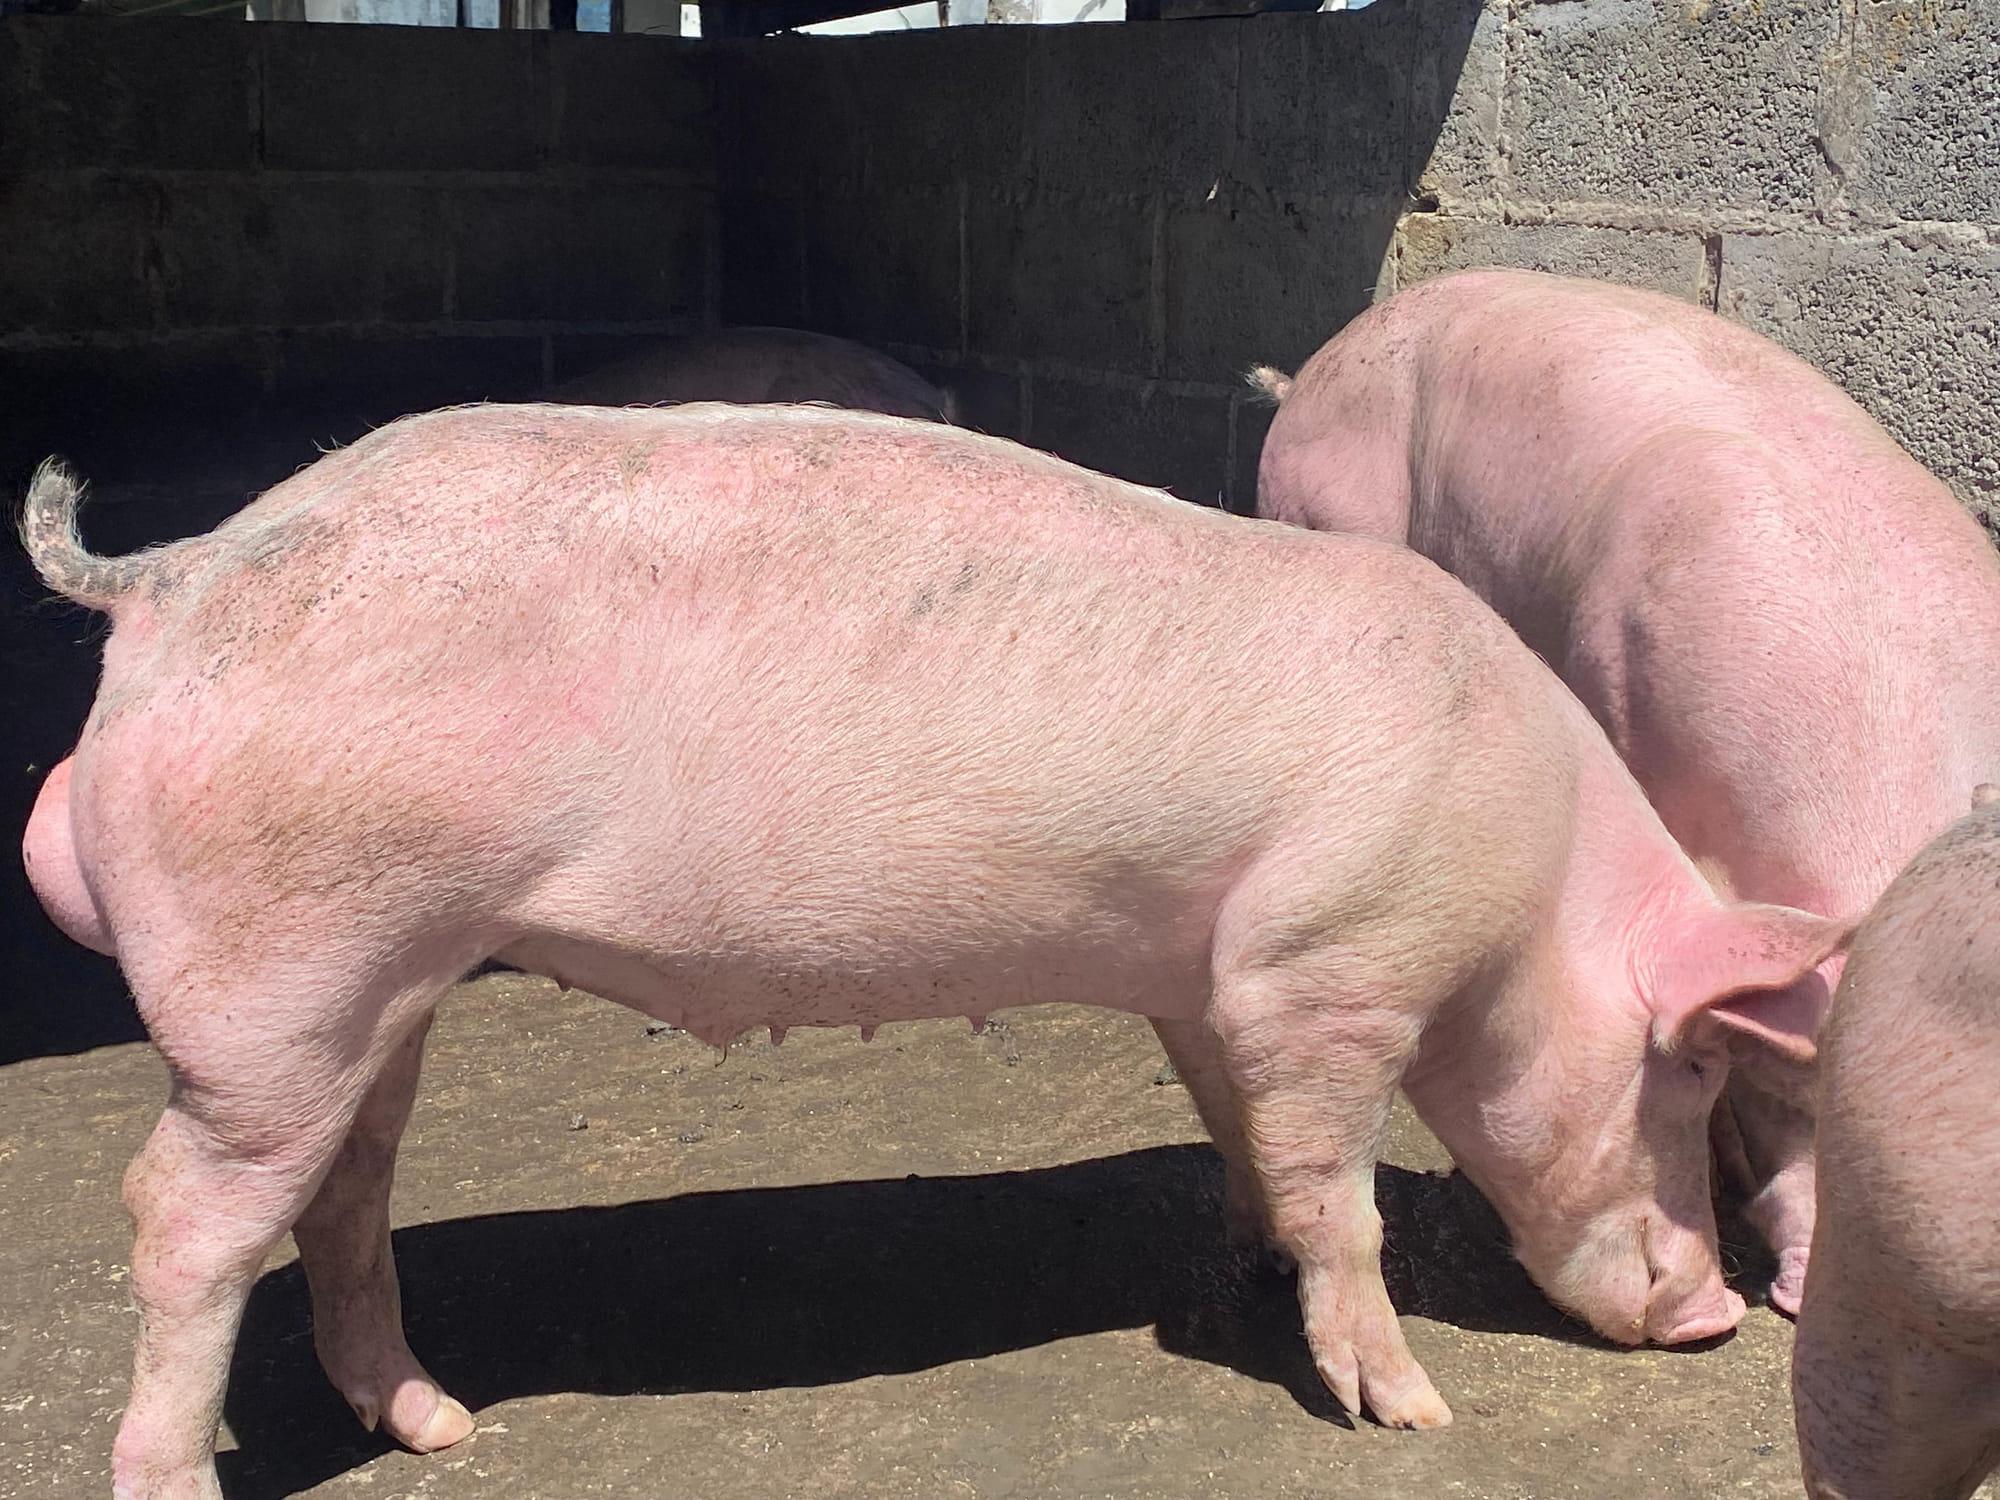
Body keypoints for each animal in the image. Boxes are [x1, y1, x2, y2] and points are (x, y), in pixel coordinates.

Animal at [19, 403, 1846, 1500]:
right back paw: (190, 1476)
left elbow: (1244, 1137)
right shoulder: (1327, 965)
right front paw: (1411, 1409)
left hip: (373, 989)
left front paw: (1253, 1265)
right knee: (177, 1216)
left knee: (342, 1197)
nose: (1713, 1318)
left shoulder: (1211, 979)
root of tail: (169, 581)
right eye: (1689, 1080)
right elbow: (1348, 1198)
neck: (1526, 882)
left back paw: (440, 1425)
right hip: (280, 972)